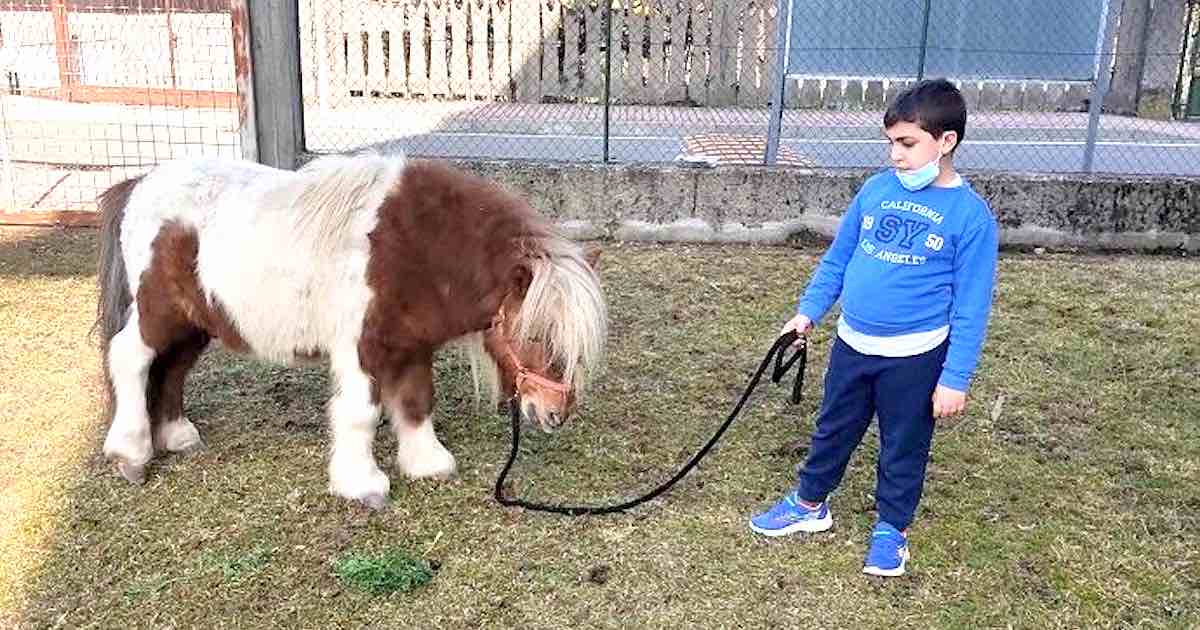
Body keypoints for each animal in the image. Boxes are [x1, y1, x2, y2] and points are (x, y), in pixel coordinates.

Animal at [91, 154, 609, 508]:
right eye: (537, 336)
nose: (555, 413)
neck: (418, 247)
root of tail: (140, 184)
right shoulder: (363, 348)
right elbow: (361, 413)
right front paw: (363, 485)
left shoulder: (411, 347)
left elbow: (417, 402)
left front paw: (427, 464)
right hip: (157, 313)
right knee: (131, 359)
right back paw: (130, 453)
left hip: (196, 322)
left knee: (172, 368)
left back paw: (176, 435)